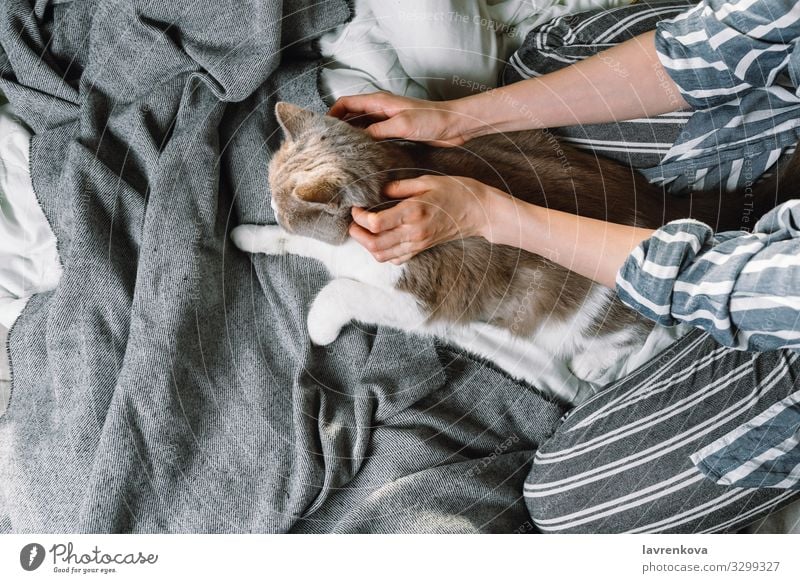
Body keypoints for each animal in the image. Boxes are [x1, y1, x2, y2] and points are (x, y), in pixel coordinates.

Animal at [231, 102, 792, 390]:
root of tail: (663, 207)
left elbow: (342, 291)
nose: (273, 207)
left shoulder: (425, 298)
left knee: (650, 324)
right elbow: (294, 245)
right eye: (273, 201)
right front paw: (248, 234)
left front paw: (320, 326)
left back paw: (594, 363)